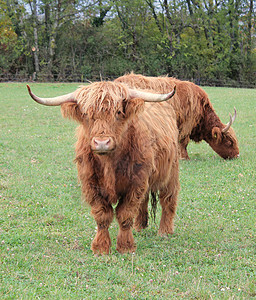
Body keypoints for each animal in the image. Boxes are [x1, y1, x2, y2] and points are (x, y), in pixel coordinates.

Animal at [27, 81, 180, 254]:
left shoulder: (135, 183)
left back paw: (165, 231)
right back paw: (139, 227)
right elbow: (102, 215)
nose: (101, 142)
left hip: (171, 171)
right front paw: (101, 247)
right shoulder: (91, 185)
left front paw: (126, 246)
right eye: (86, 114)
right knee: (144, 200)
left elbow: (125, 214)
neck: (109, 163)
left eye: (118, 112)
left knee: (168, 200)